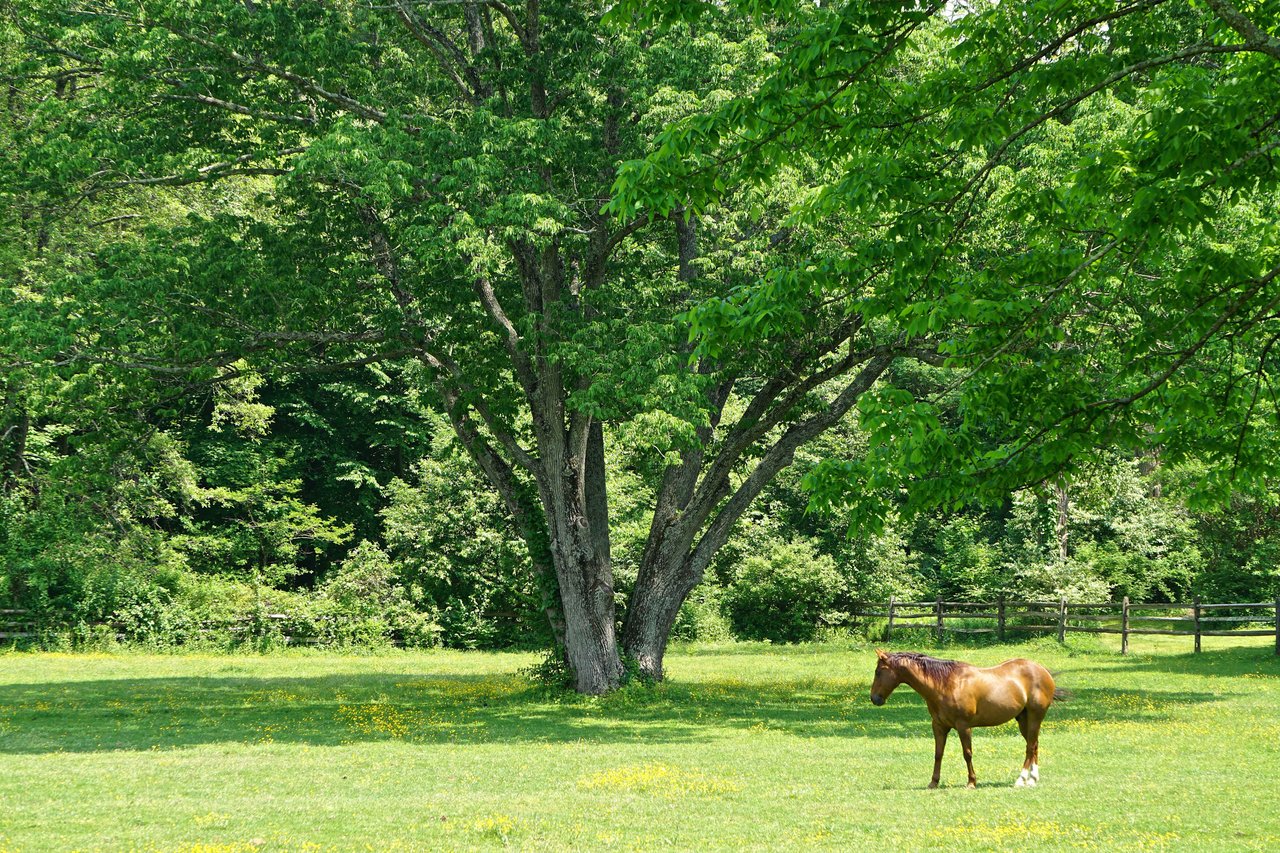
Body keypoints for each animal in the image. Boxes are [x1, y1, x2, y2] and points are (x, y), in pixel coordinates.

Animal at [870, 648, 1059, 788]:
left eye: (878, 672)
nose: (874, 699)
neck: (945, 684)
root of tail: (1043, 671)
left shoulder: (963, 727)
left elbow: (967, 753)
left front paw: (971, 782)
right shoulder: (939, 726)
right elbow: (938, 754)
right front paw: (933, 782)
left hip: (1035, 717)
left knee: (1030, 747)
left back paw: (1021, 780)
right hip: (1023, 719)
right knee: (1034, 745)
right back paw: (1033, 779)